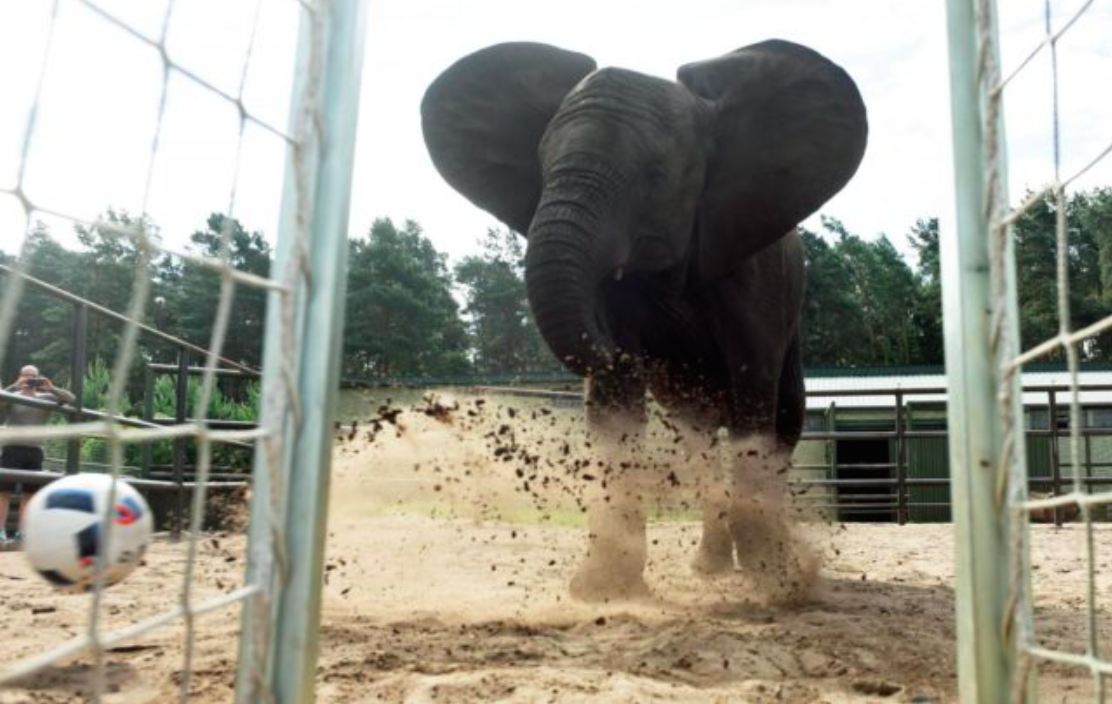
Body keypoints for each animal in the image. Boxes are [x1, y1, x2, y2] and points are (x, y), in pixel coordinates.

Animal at [421, 39, 867, 601]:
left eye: (656, 177)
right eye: (541, 166)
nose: (630, 349)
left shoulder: (754, 268)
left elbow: (752, 389)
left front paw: (775, 584)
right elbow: (614, 407)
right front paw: (601, 590)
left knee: (782, 421)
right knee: (699, 440)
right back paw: (711, 569)